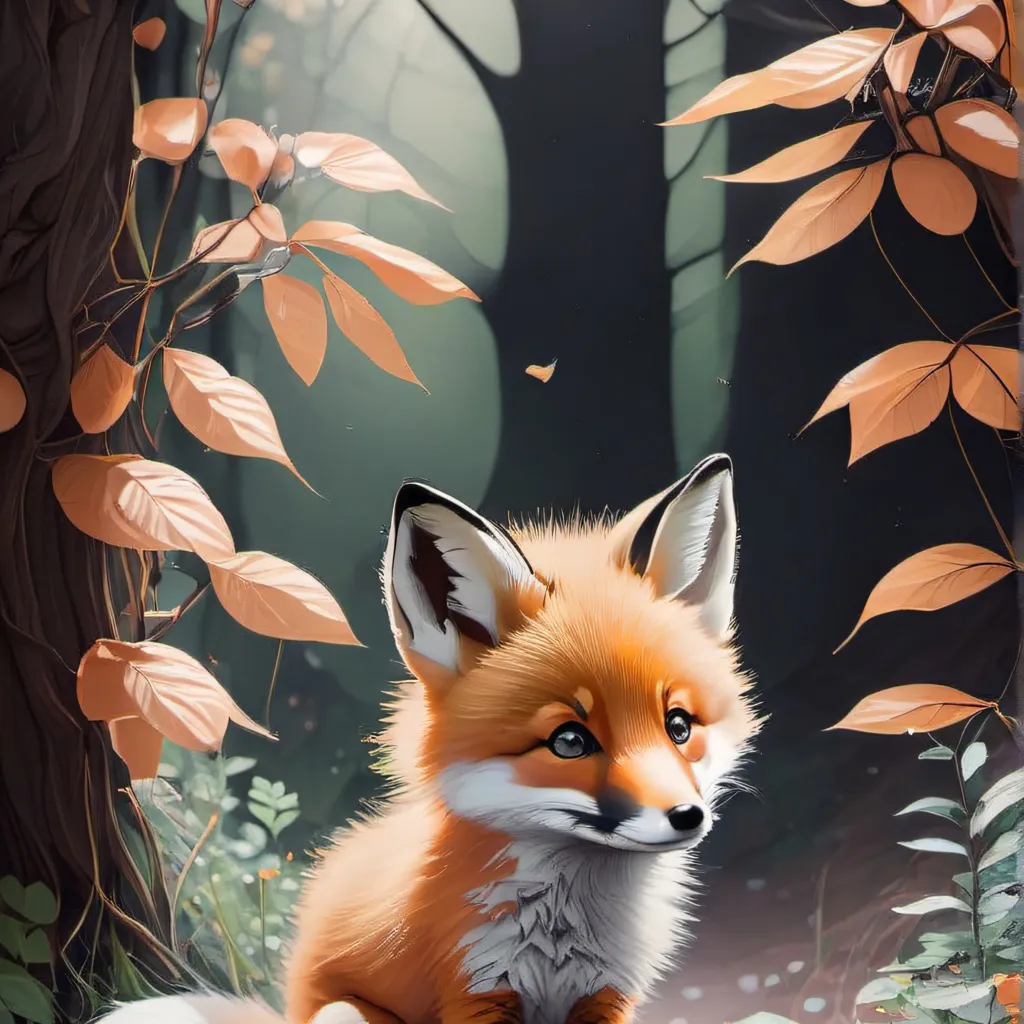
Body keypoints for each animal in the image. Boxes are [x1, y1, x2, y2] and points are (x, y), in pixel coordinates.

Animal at [101, 454, 762, 1024]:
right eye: (570, 742)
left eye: (679, 726)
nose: (687, 816)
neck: (561, 935)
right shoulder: (474, 989)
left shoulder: (605, 997)